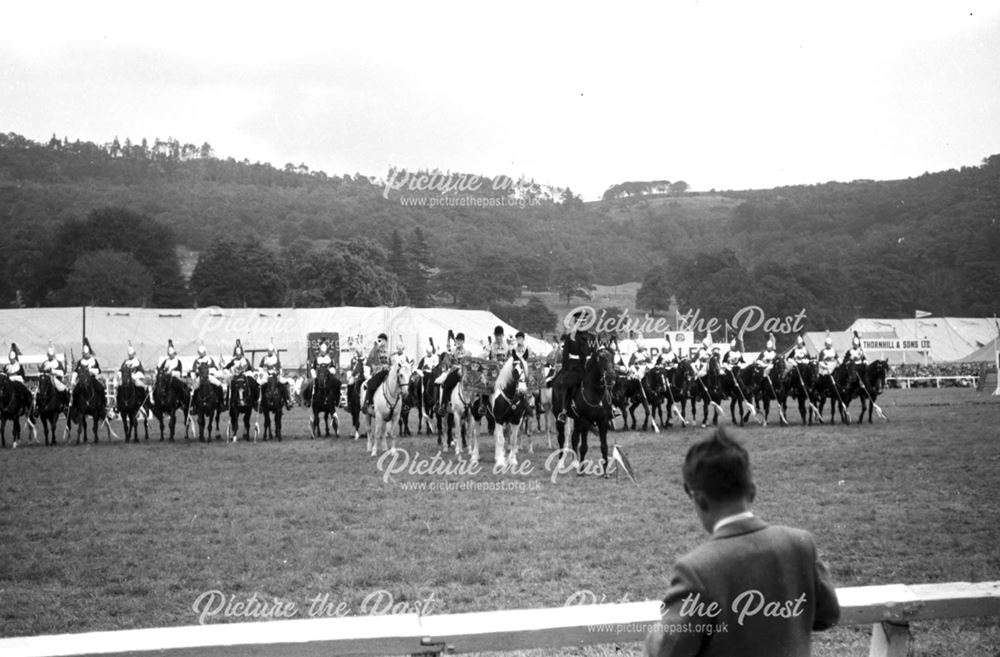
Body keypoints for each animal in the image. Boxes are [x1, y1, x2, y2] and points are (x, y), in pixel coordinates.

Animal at [552, 346, 612, 474]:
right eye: (600, 358)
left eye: (612, 356)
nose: (611, 375)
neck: (595, 392)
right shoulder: (585, 420)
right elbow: (584, 447)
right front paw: (582, 470)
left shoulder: (603, 421)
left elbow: (604, 446)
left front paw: (605, 471)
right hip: (559, 417)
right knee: (561, 438)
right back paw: (560, 464)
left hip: (576, 419)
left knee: (574, 438)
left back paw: (575, 462)